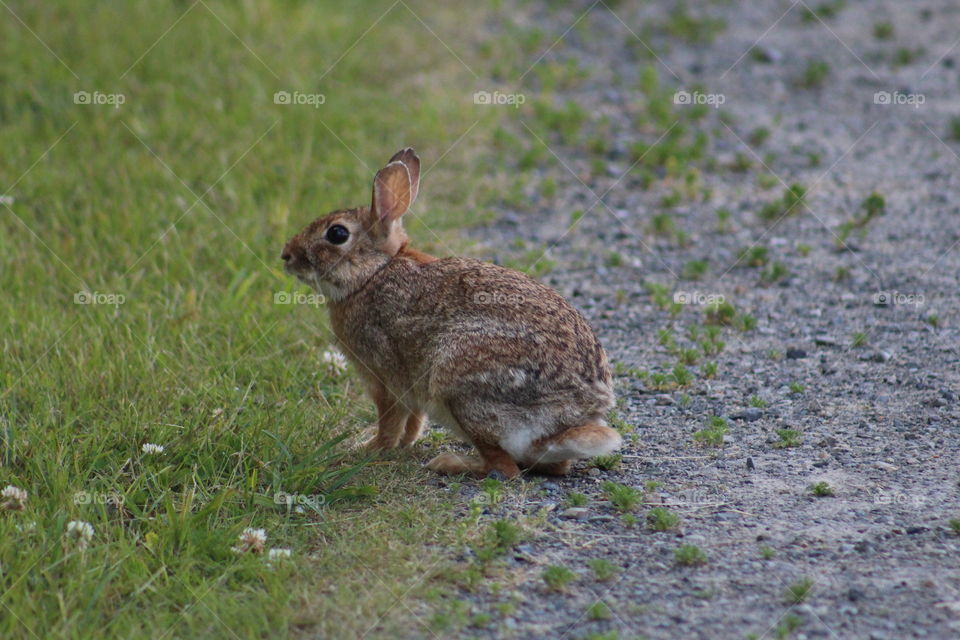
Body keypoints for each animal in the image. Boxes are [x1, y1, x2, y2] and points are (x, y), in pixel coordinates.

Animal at [280, 148, 624, 478]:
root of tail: (574, 413)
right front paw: (403, 445)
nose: (286, 255)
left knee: (505, 469)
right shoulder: (412, 386)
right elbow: (414, 421)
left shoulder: (385, 378)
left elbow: (390, 419)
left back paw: (450, 463)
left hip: (461, 386)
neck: (372, 274)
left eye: (337, 234)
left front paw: (370, 449)